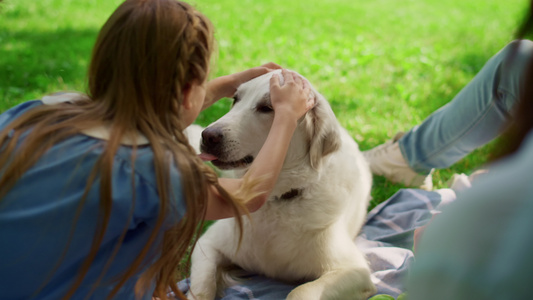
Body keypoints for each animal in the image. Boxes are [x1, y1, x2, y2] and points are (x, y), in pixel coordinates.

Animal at [186, 71, 374, 300]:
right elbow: (200, 288)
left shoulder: (354, 269)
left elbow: (300, 291)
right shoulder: (207, 245)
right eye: (235, 99)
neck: (277, 199)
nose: (208, 136)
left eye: (267, 108)